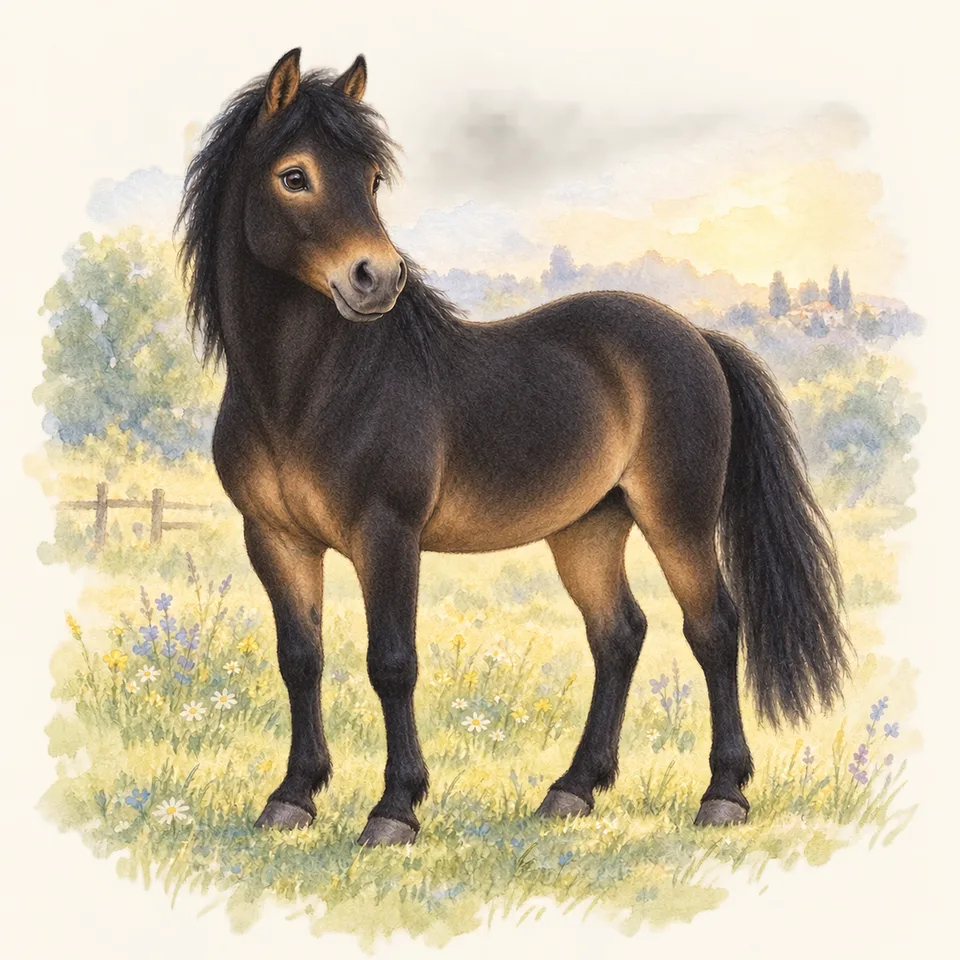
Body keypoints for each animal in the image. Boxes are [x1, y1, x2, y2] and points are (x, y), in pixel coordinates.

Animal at [177, 49, 849, 847]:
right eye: (294, 176)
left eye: (371, 179)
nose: (376, 279)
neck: (307, 392)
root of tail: (695, 337)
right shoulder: (274, 538)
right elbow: (301, 660)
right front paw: (292, 798)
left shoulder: (386, 533)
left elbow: (392, 662)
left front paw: (394, 810)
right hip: (588, 527)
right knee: (618, 634)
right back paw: (573, 790)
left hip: (676, 518)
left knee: (713, 629)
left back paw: (722, 795)